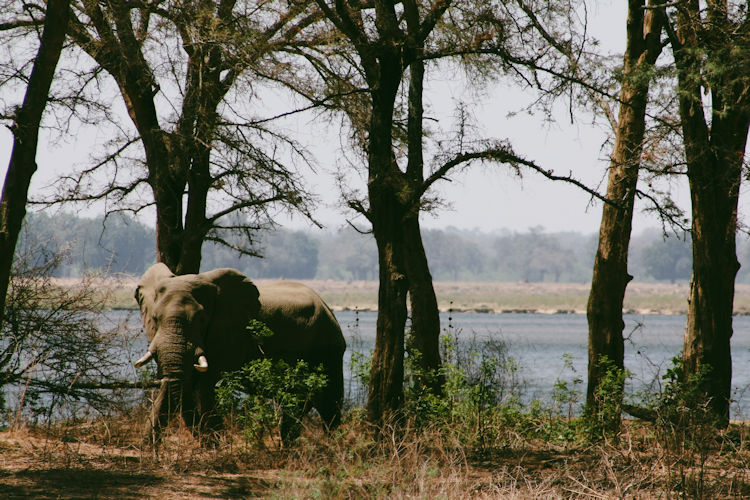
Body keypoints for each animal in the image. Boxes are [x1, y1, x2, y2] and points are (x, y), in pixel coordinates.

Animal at [132, 263, 346, 444]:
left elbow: (206, 384)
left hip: (327, 350)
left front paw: (215, 447)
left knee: (328, 405)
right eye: (154, 318)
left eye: (202, 319)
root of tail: (328, 308)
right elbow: (181, 384)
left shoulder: (229, 334)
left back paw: (332, 448)